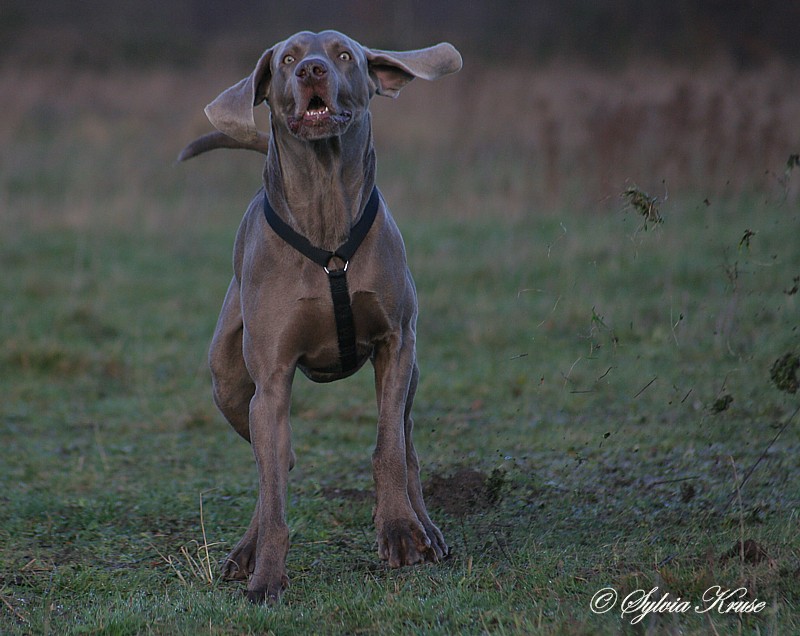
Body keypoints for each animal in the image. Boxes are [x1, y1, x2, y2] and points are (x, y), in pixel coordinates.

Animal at [177, 29, 460, 604]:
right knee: (274, 464)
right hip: (228, 382)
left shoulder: (396, 345)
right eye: (287, 58)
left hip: (411, 370)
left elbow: (388, 448)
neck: (326, 217)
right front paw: (266, 577)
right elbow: (274, 489)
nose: (311, 70)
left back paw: (427, 530)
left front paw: (401, 532)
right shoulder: (271, 379)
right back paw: (247, 550)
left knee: (406, 439)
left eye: (343, 54)